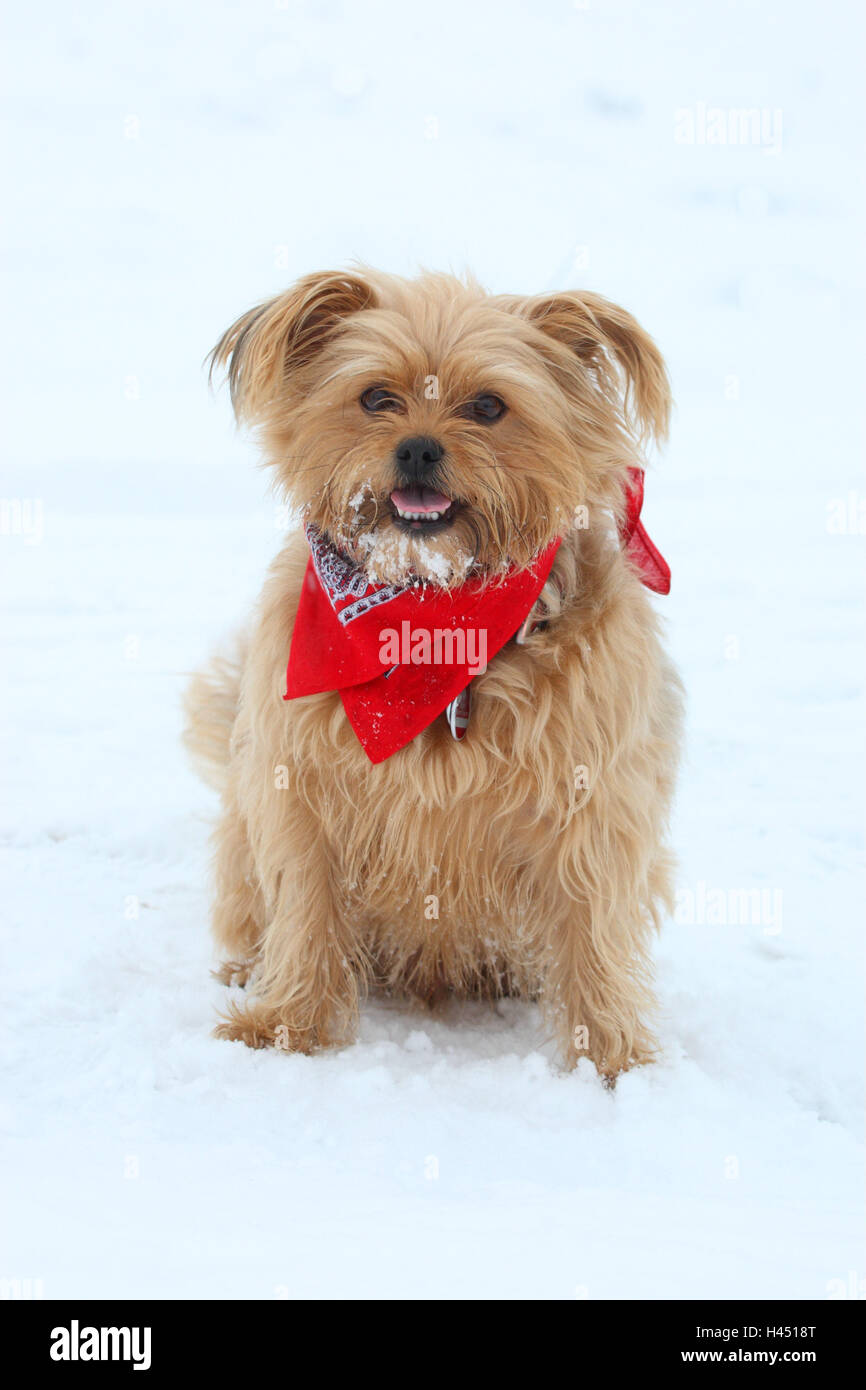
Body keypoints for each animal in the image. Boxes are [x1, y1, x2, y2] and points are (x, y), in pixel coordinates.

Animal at [184, 268, 683, 1073]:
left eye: (488, 406)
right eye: (374, 398)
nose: (418, 448)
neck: (433, 615)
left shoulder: (595, 803)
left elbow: (593, 934)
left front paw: (609, 1058)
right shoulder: (302, 794)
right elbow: (307, 912)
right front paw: (287, 1026)